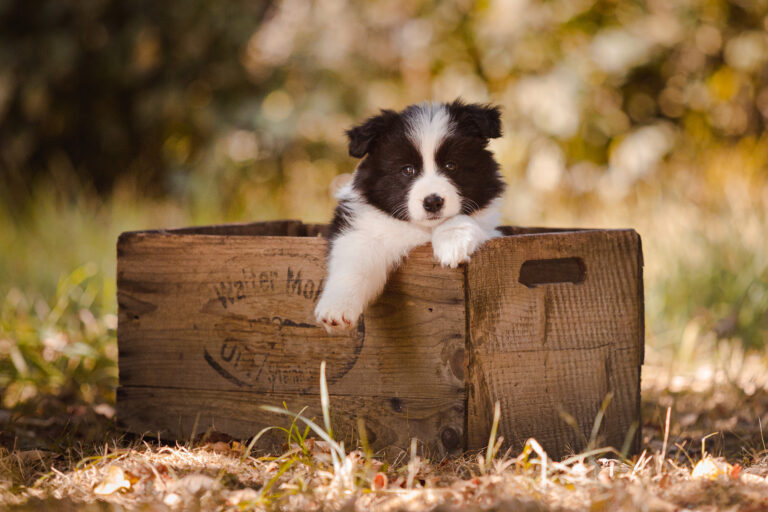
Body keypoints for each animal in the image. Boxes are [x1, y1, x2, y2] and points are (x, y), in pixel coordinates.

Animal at [316, 100, 508, 334]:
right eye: (408, 170)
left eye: (451, 165)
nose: (433, 202)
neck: (420, 229)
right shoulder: (360, 229)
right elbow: (353, 264)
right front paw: (336, 309)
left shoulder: (489, 226)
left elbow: (460, 220)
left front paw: (452, 245)